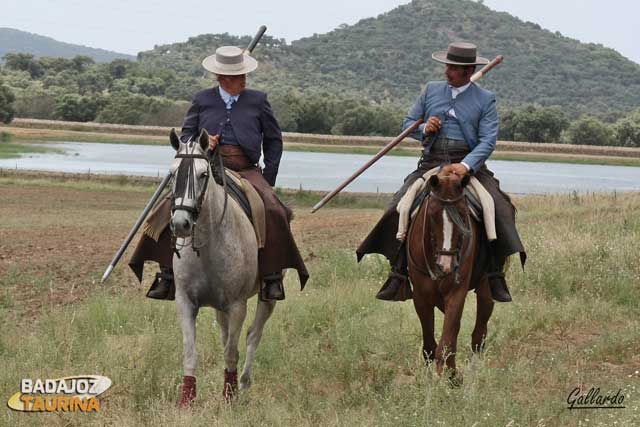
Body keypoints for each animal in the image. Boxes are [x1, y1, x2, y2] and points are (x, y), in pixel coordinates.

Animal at [168, 128, 276, 408]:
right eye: (173, 174)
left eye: (203, 174)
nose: (181, 223)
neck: (208, 243)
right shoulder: (185, 302)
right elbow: (190, 352)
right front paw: (186, 401)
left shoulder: (238, 305)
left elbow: (231, 352)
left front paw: (230, 397)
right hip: (219, 308)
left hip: (267, 298)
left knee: (252, 335)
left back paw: (245, 382)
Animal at [404, 171, 496, 384]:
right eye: (432, 215)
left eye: (463, 214)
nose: (446, 266)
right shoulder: (420, 297)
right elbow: (431, 344)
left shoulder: (457, 292)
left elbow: (447, 341)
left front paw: (450, 377)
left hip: (485, 289)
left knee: (479, 332)